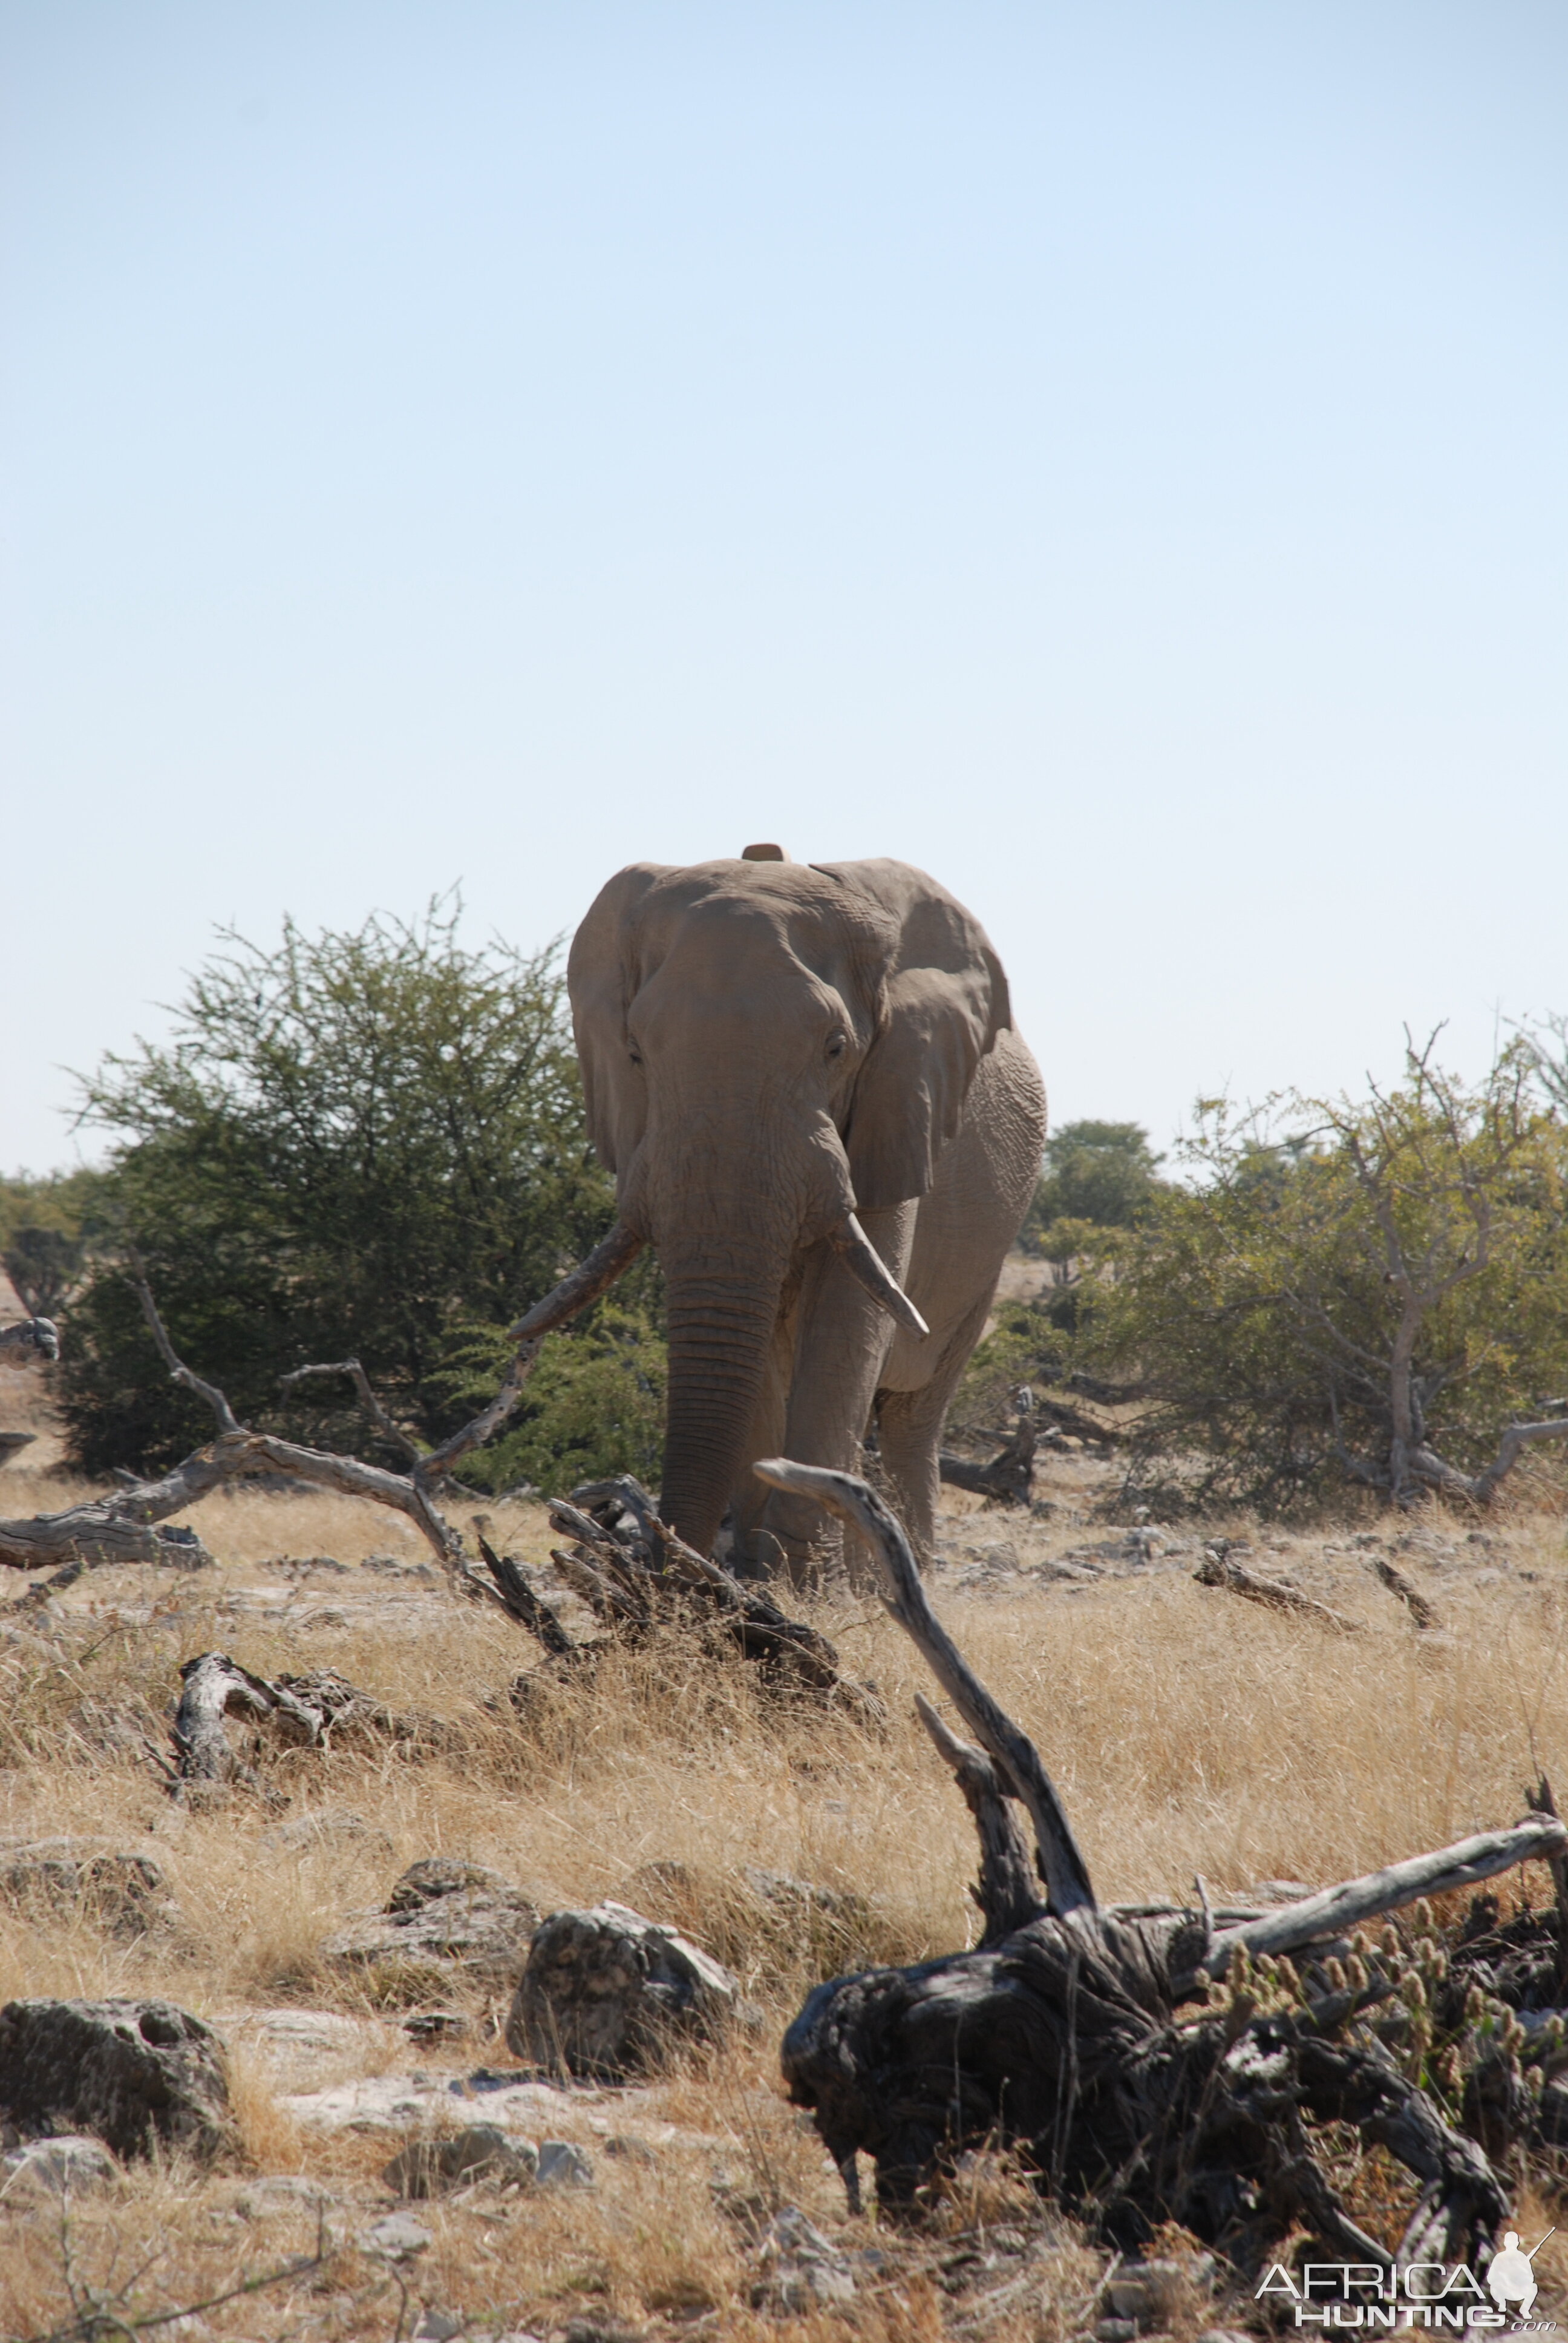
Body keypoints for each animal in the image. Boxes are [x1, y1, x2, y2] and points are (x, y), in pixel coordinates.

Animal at [562, 853, 1040, 1584]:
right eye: (636, 1052)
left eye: (836, 1047)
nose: (672, 1573)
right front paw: (763, 1576)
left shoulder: (898, 1102)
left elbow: (848, 1317)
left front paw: (806, 1584)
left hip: (991, 1250)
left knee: (912, 1409)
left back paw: (901, 1575)